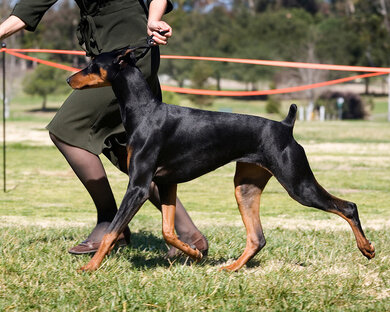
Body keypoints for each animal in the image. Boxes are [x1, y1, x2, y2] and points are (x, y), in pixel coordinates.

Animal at [67, 47, 374, 272]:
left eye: (93, 64)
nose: (69, 79)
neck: (144, 111)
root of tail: (285, 126)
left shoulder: (139, 186)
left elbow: (112, 231)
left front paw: (89, 268)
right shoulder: (165, 183)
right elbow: (168, 230)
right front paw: (194, 253)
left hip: (299, 185)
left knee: (348, 207)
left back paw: (367, 248)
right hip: (245, 188)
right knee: (257, 238)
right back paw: (231, 268)